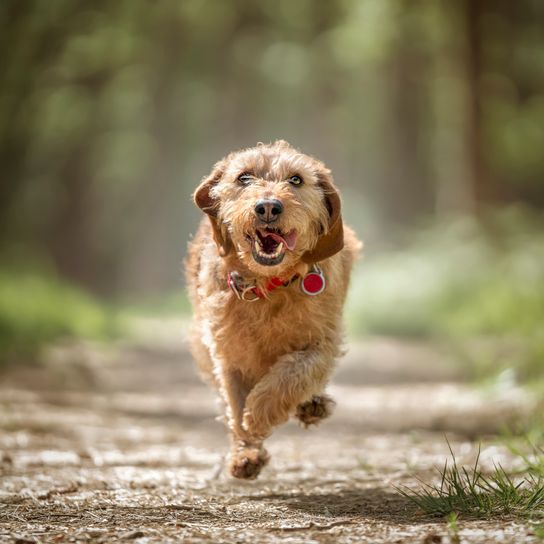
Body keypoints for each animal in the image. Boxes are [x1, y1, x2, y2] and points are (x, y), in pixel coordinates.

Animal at [186, 141, 362, 480]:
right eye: (244, 178)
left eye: (296, 180)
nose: (268, 207)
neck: (269, 285)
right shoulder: (228, 354)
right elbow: (235, 403)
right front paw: (246, 451)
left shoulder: (323, 340)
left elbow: (296, 372)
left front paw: (260, 412)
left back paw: (312, 405)